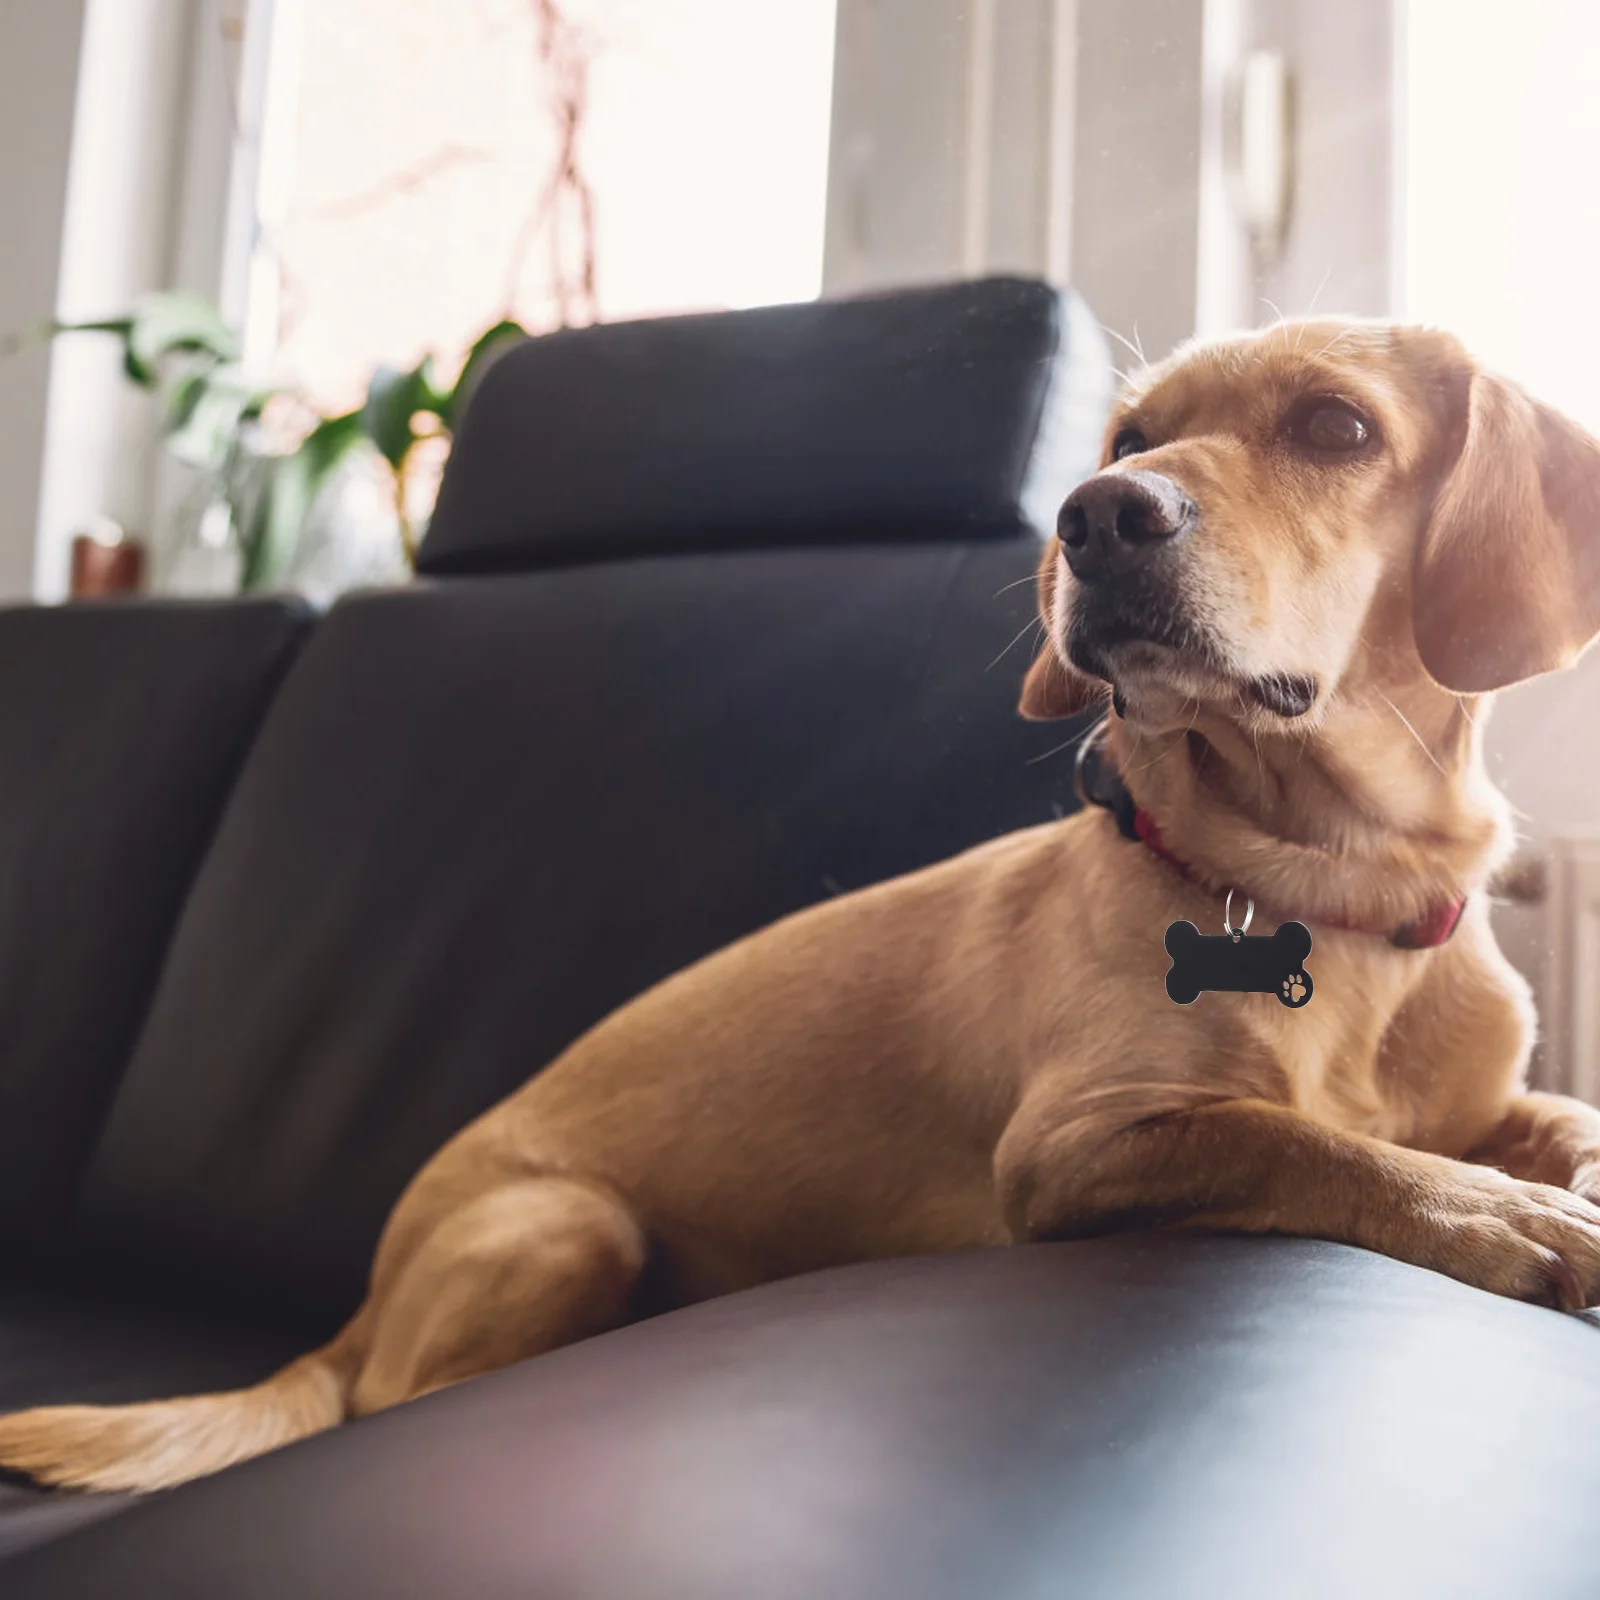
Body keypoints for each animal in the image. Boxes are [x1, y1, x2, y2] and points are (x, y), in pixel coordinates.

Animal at [9, 318, 1600, 1491]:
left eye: (1336, 428)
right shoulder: (1080, 1144)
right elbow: (1307, 1144)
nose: (1093, 514)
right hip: (561, 1224)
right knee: (398, 1396)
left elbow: (1539, 1118)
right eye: (1126, 440)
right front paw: (1507, 1219)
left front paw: (1553, 1174)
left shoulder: (1474, 1094)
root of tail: (351, 1304)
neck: (1339, 897)